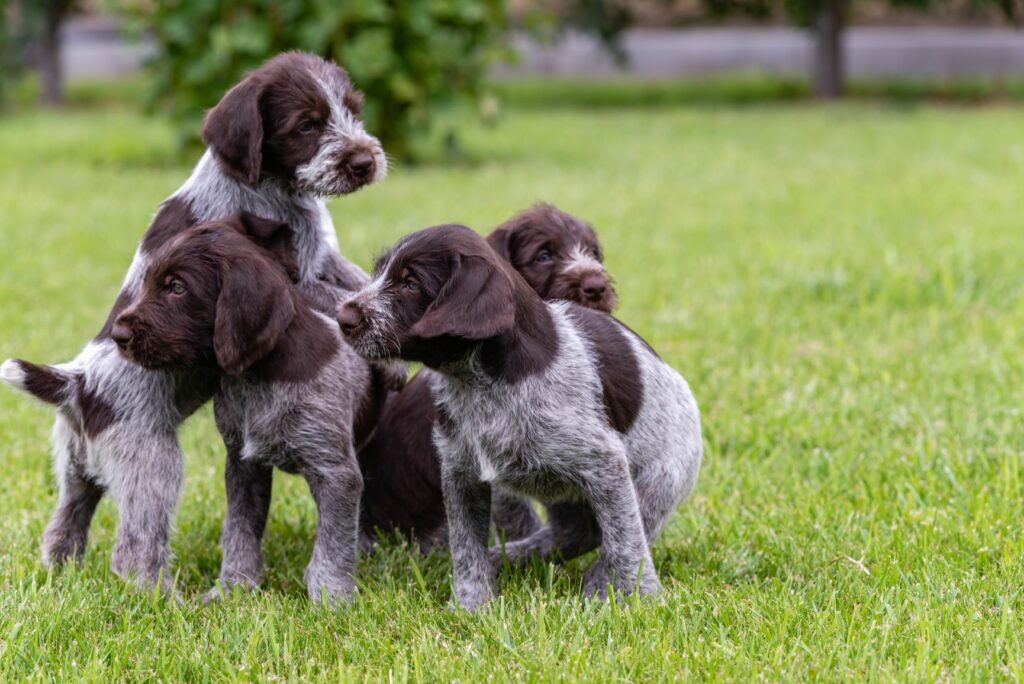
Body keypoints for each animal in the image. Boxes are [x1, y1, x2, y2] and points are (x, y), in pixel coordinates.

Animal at [114, 210, 376, 602]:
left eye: (177, 288)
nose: (118, 335)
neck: (259, 377)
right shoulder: (243, 464)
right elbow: (241, 531)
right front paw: (233, 587)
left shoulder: (335, 472)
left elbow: (333, 544)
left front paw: (332, 599)